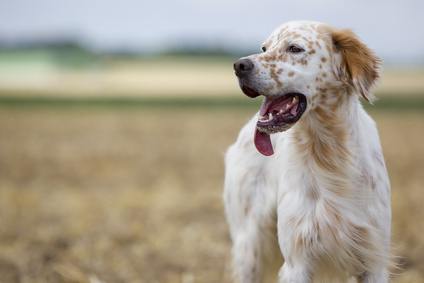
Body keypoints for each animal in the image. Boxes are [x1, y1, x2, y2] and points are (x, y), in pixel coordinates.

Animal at [224, 21, 392, 282]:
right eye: (264, 48)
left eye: (295, 48)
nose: (239, 65)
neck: (327, 150)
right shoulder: (297, 261)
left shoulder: (373, 261)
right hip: (249, 247)